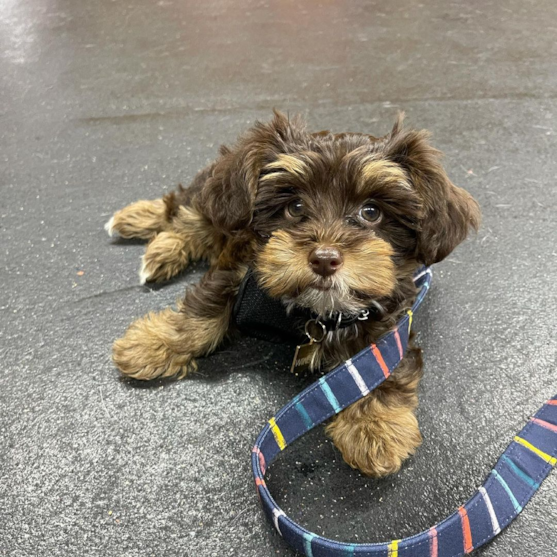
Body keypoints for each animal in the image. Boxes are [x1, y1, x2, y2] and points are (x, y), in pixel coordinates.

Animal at [105, 109, 478, 478]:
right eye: (295, 207)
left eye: (371, 212)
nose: (325, 259)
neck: (317, 312)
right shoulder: (239, 267)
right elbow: (202, 314)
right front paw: (153, 344)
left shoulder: (388, 317)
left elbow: (379, 362)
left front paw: (374, 426)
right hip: (217, 200)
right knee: (185, 211)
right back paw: (149, 233)